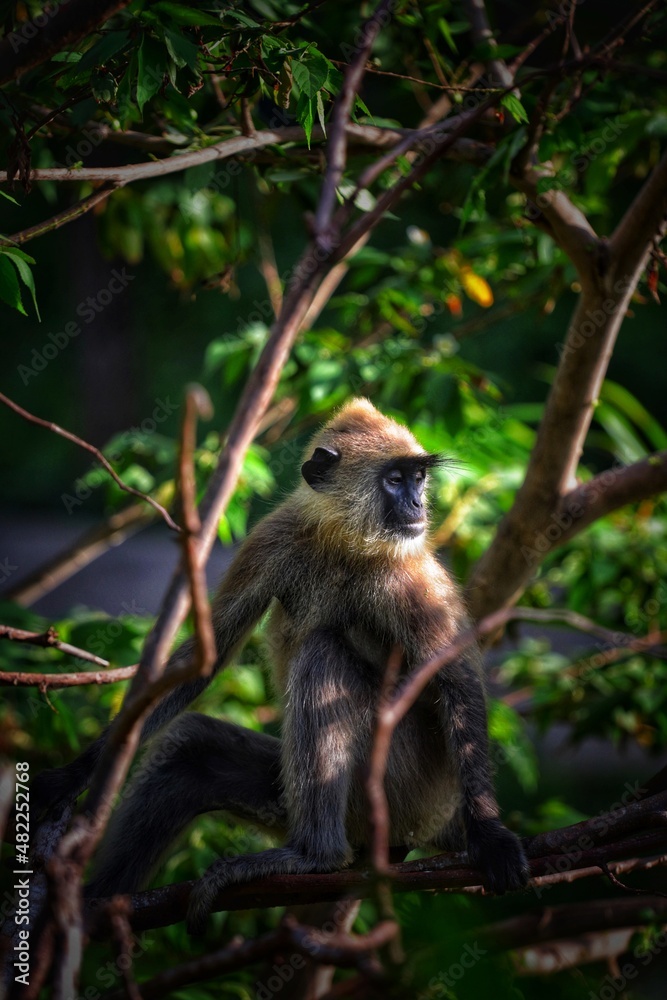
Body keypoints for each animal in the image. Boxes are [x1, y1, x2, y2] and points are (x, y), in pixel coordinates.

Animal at [34, 398, 529, 933]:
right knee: (189, 747)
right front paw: (76, 773)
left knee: (323, 654)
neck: (342, 540)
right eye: (396, 480)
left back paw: (316, 857)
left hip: (407, 785)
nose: (418, 505)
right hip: (297, 795)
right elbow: (208, 659)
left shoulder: (407, 573)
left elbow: (457, 683)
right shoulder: (277, 535)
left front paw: (491, 835)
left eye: (418, 479)